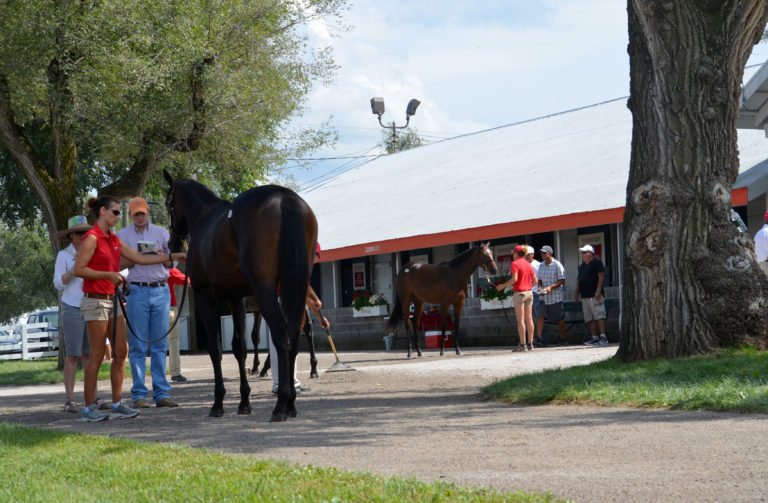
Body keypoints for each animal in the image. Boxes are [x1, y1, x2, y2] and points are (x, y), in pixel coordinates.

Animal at [164, 171, 316, 424]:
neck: (205, 216)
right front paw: (244, 402)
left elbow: (215, 348)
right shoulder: (236, 298)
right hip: (296, 286)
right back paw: (291, 403)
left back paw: (281, 405)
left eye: (169, 204)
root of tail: (285, 198)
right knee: (294, 334)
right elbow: (239, 347)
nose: (172, 243)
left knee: (281, 334)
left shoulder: (206, 297)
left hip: (265, 291)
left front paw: (218, 403)